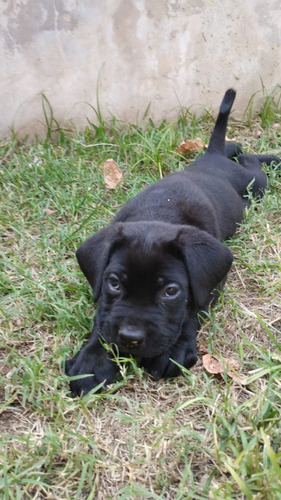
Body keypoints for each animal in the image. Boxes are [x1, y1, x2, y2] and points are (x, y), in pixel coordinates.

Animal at [65, 89, 278, 394]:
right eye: (114, 283)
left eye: (171, 291)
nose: (130, 338)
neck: (159, 213)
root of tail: (211, 158)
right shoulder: (105, 297)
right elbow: (102, 315)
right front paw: (91, 361)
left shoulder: (209, 284)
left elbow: (191, 310)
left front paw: (174, 351)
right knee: (235, 150)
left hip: (255, 182)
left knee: (250, 161)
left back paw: (270, 158)